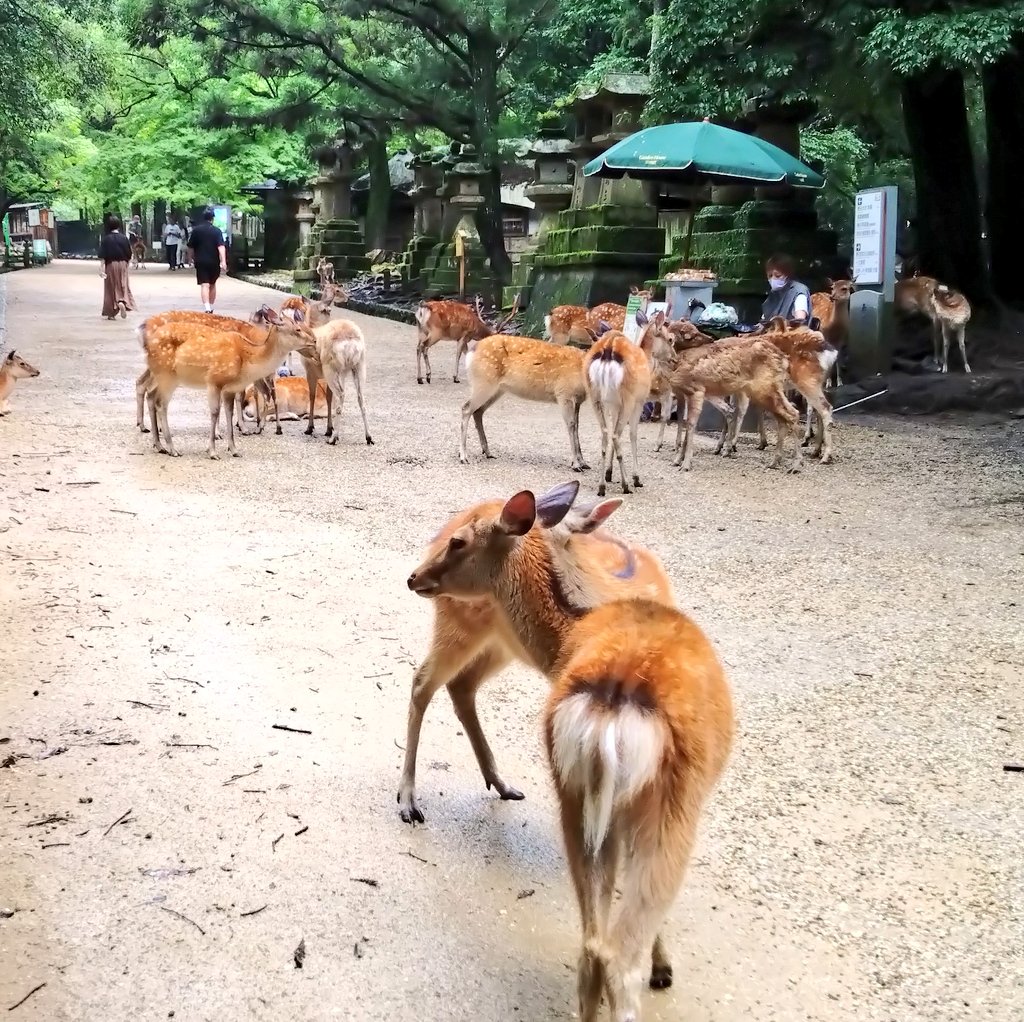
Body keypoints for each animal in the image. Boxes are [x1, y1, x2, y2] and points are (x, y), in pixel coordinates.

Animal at [138, 306, 315, 459]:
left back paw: (159, 445)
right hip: (167, 375)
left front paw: (234, 449)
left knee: (150, 393)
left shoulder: (230, 388)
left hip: (162, 376)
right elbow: (215, 412)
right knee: (160, 403)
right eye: (298, 329)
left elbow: (229, 413)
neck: (248, 356)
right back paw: (172, 448)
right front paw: (212, 451)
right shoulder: (214, 380)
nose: (313, 340)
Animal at [405, 480, 733, 1013]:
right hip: (668, 804)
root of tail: (610, 706)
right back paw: (409, 801)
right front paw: (664, 965)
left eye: (459, 543)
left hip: (575, 791)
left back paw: (498, 783)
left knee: (592, 946)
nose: (414, 575)